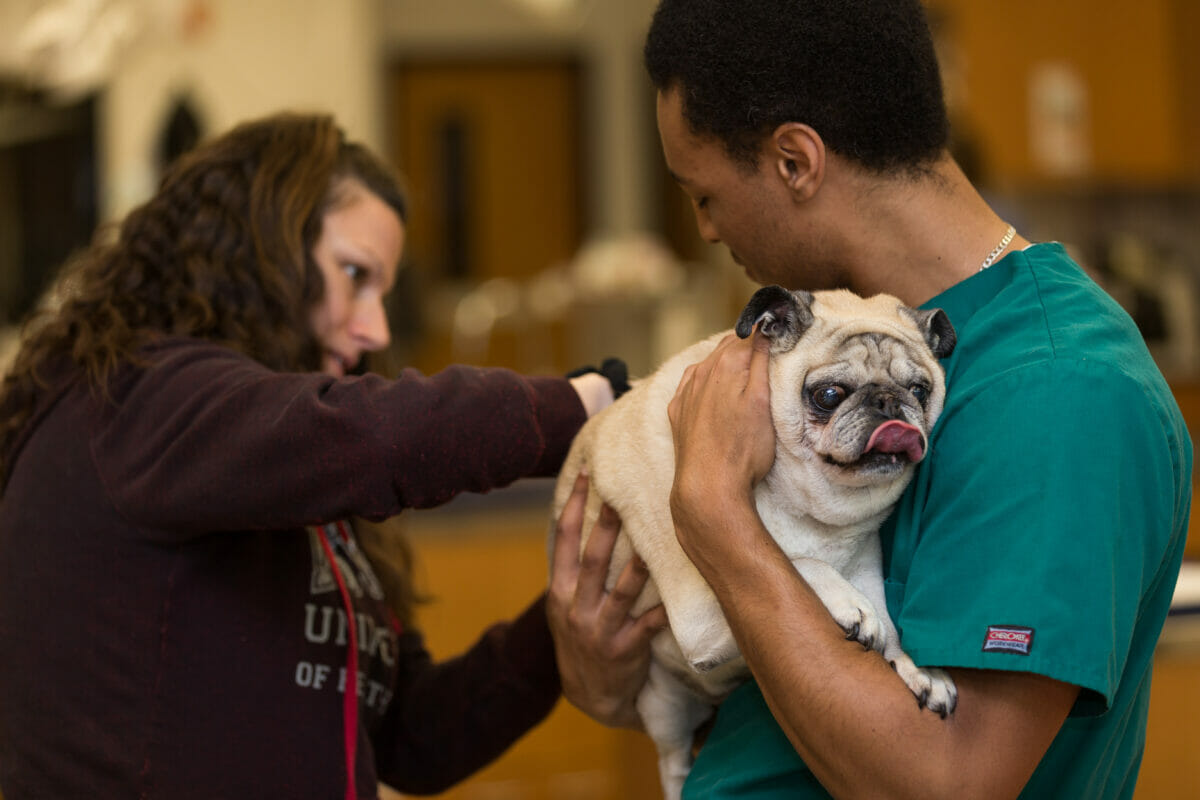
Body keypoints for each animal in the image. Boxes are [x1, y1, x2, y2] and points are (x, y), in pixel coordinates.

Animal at [549, 284, 955, 796]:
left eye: (920, 390)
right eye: (828, 395)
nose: (887, 401)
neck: (811, 509)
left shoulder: (864, 567)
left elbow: (889, 625)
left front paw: (918, 668)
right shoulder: (700, 616)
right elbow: (797, 560)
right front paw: (845, 601)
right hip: (665, 709)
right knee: (673, 763)